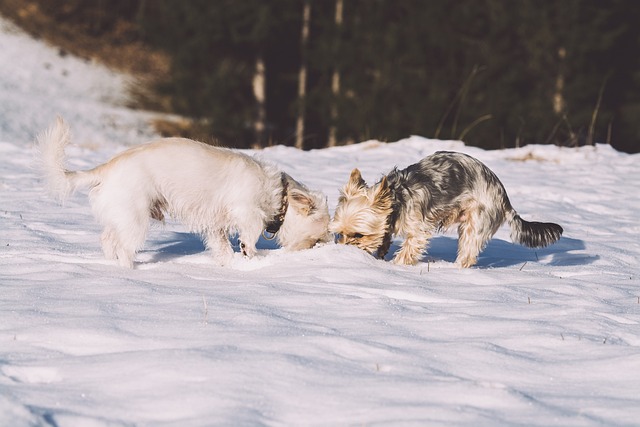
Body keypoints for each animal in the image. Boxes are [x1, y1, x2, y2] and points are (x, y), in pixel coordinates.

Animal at [36, 118, 330, 268]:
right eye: (317, 235)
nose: (321, 246)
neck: (280, 194)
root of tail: (105, 170)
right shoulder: (246, 210)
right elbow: (251, 233)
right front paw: (251, 255)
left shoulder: (216, 227)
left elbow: (222, 248)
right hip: (136, 221)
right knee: (123, 248)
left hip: (121, 216)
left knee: (108, 240)